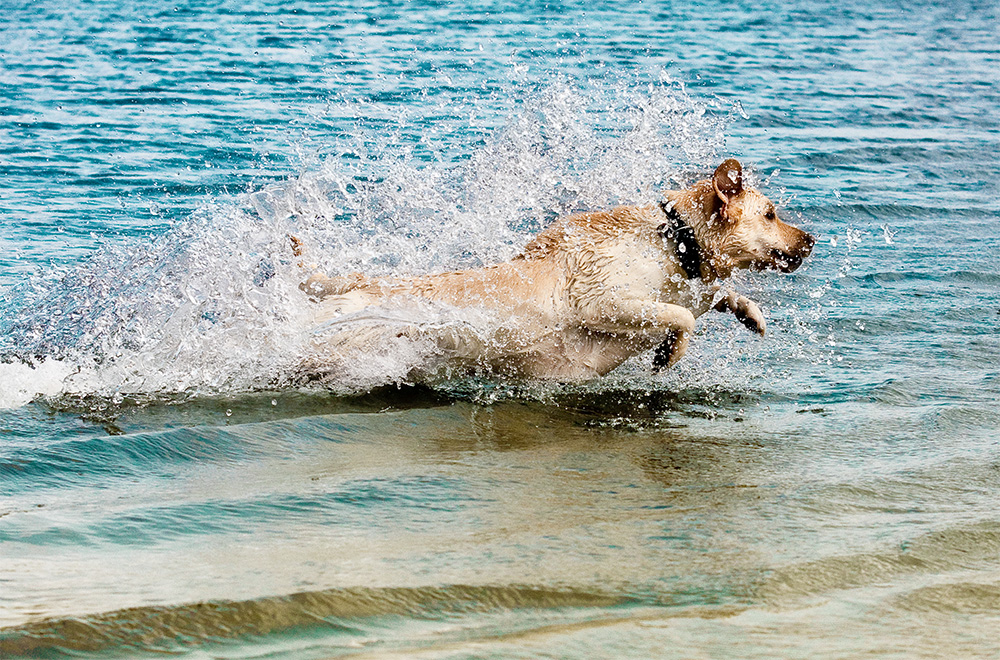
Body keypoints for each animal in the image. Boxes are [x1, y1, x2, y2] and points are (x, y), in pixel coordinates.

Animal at [292, 159, 816, 382]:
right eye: (771, 214)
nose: (812, 240)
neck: (673, 241)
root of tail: (345, 286)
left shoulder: (687, 286)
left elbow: (713, 295)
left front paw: (749, 313)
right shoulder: (599, 298)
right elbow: (682, 316)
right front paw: (670, 351)